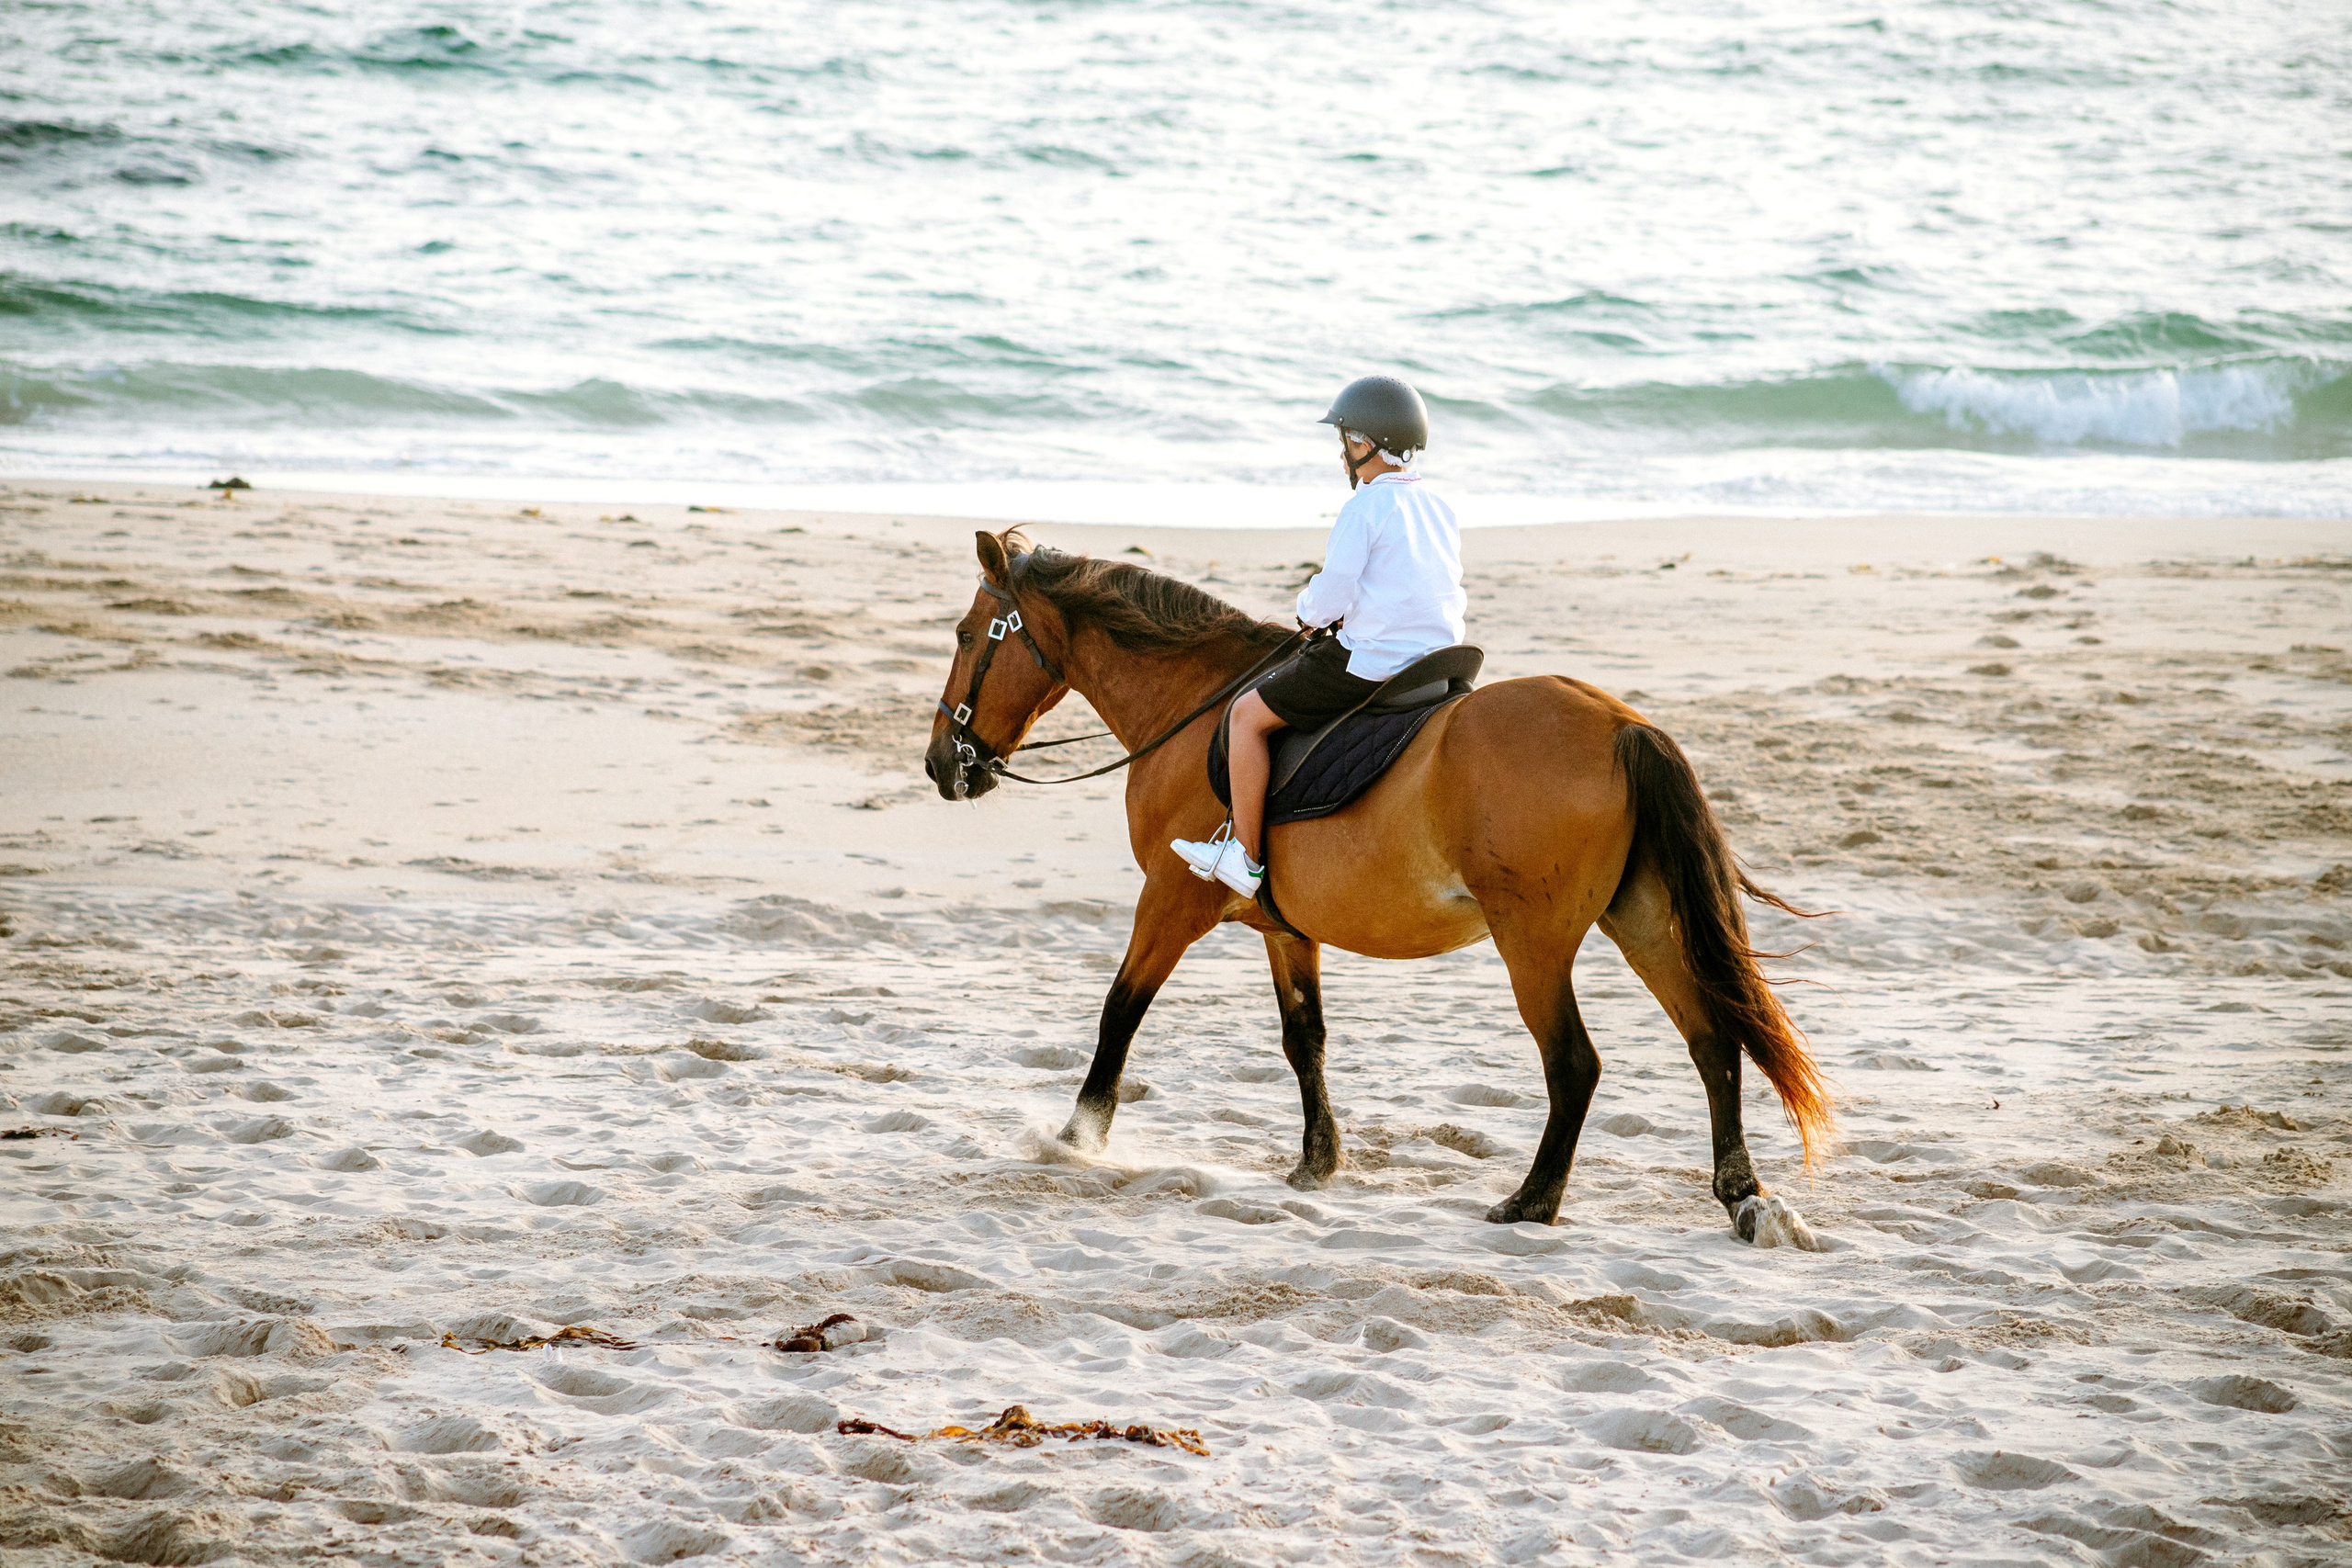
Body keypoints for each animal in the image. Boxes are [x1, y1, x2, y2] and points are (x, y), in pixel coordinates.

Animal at [923, 528, 1832, 1243]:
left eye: (967, 635)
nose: (940, 765)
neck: (1197, 707)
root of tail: (1621, 725)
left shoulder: (1171, 903)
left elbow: (1120, 1010)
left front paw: (1077, 1136)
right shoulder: (1286, 929)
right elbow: (1304, 1039)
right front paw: (1317, 1162)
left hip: (1533, 942)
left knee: (1575, 1062)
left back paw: (1532, 1201)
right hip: (1643, 918)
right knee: (1712, 1039)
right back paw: (1741, 1194)